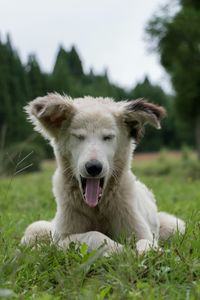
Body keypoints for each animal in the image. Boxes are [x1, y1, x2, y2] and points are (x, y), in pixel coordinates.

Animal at [21, 94, 185, 255]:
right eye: (79, 137)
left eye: (108, 137)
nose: (93, 167)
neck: (97, 209)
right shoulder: (62, 238)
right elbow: (94, 235)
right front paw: (120, 249)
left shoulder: (141, 230)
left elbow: (146, 242)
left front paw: (149, 252)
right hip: (38, 228)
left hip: (174, 226)